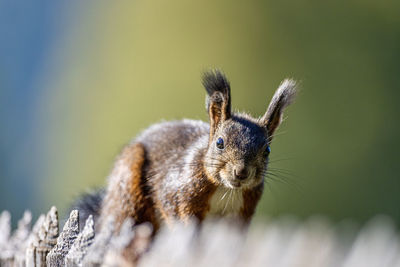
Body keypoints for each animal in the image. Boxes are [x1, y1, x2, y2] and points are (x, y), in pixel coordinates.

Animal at [72, 70, 296, 233]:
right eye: (220, 143)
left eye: (267, 150)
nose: (241, 172)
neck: (226, 189)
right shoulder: (176, 187)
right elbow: (174, 210)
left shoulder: (243, 213)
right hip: (127, 184)